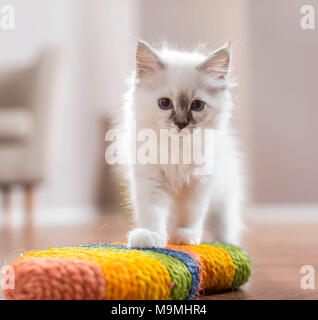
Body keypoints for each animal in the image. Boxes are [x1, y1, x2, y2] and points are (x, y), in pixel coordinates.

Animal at [120, 40, 245, 249]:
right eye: (164, 103)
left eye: (197, 106)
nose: (180, 124)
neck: (177, 149)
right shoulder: (151, 178)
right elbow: (152, 211)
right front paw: (151, 237)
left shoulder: (199, 183)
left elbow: (191, 213)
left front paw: (185, 236)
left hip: (224, 204)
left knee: (225, 229)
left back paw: (228, 245)